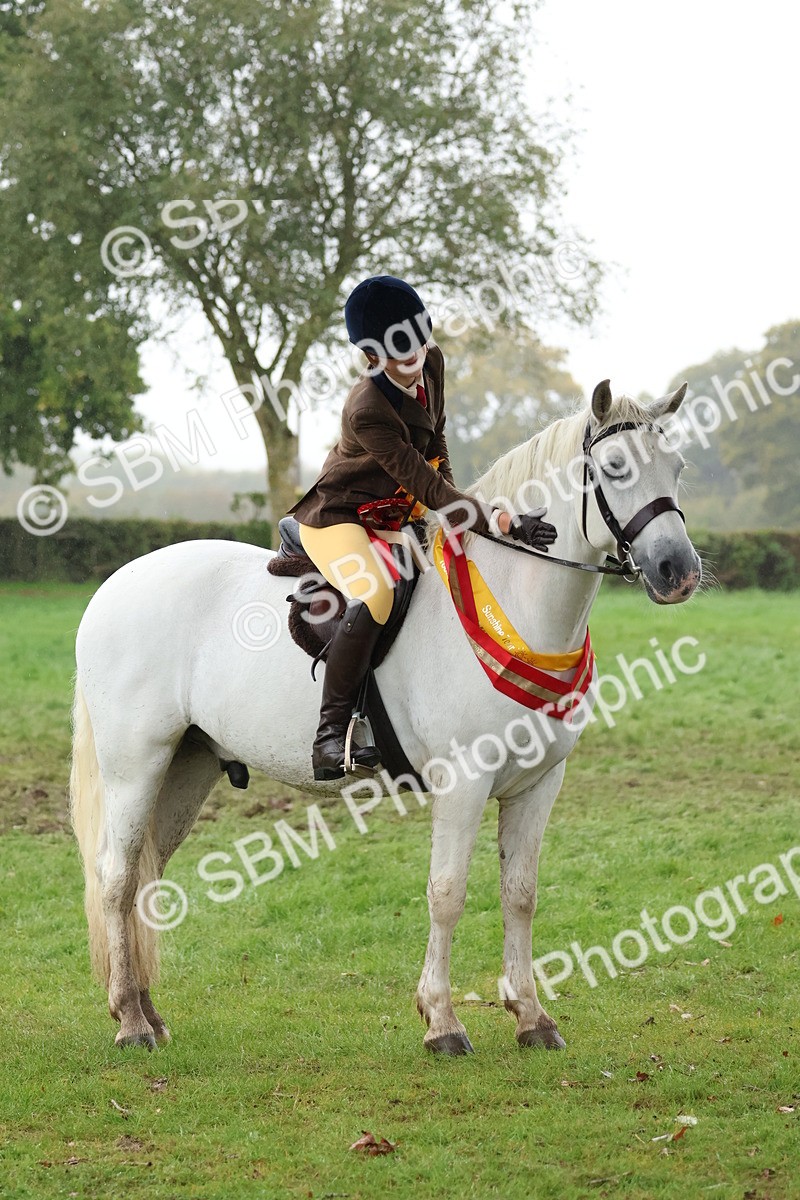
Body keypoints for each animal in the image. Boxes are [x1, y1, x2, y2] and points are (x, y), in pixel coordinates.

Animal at [70, 381, 701, 1054]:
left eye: (678, 468)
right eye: (615, 467)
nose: (678, 572)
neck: (513, 604)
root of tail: (116, 584)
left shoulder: (538, 785)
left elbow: (521, 895)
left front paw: (532, 1017)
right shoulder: (463, 784)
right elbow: (447, 894)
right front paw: (442, 1021)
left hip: (186, 767)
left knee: (145, 879)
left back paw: (146, 1011)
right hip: (136, 765)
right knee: (116, 878)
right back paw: (131, 1021)